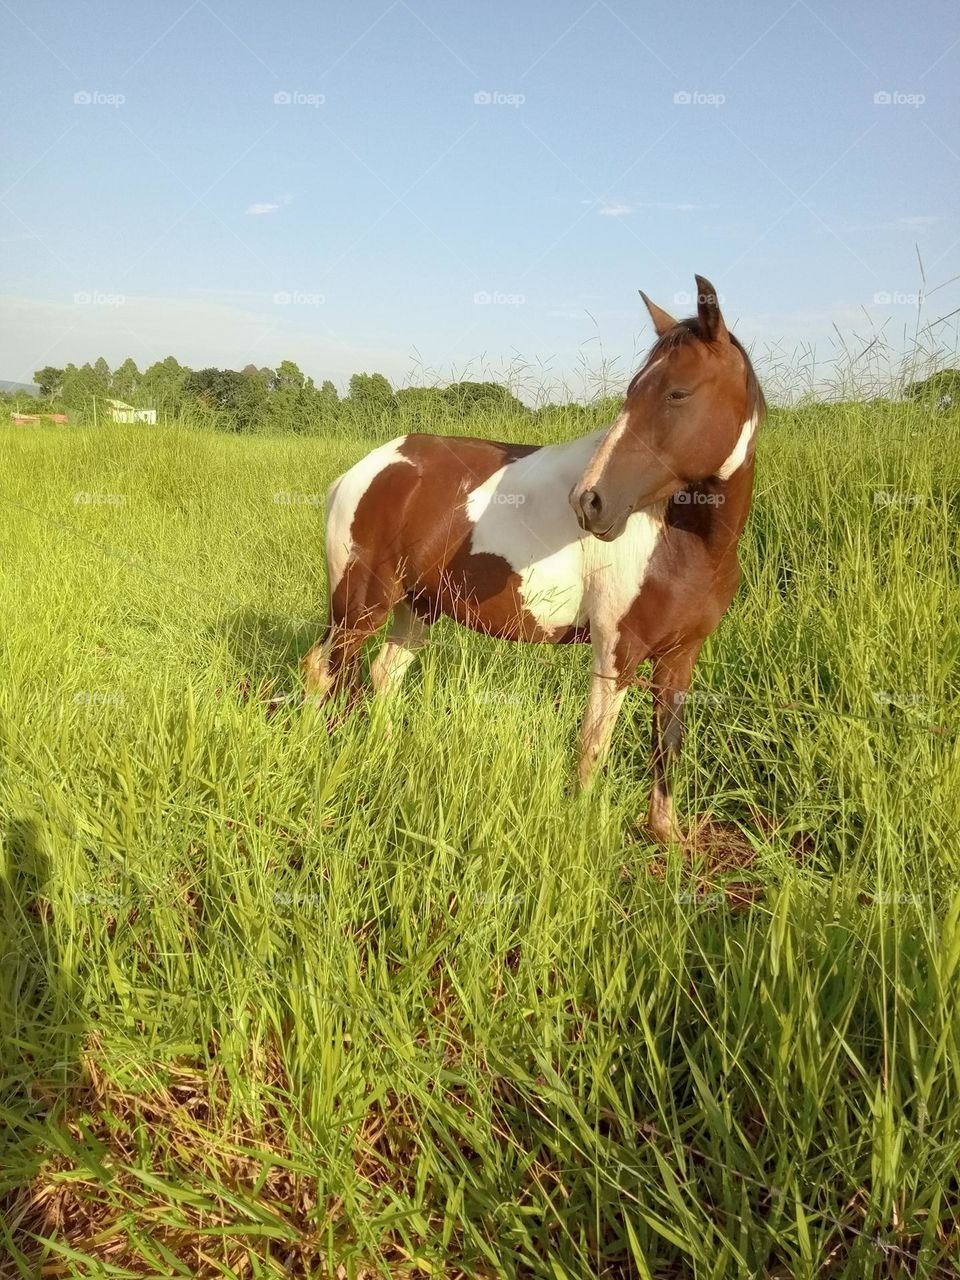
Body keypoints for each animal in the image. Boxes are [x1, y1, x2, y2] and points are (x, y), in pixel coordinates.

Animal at [302, 276, 765, 843]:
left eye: (678, 392)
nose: (589, 501)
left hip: (417, 608)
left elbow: (667, 743)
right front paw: (582, 830)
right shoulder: (616, 654)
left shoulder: (681, 657)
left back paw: (385, 755)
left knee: (382, 675)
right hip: (359, 607)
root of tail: (361, 471)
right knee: (324, 671)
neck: (681, 538)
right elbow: (593, 746)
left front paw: (666, 836)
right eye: (631, 392)